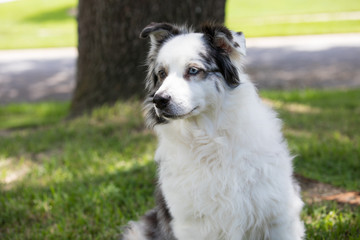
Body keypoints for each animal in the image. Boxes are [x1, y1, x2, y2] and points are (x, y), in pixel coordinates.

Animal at [122, 22, 306, 240]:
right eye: (162, 74)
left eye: (193, 70)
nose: (159, 100)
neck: (210, 138)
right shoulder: (191, 223)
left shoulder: (278, 215)